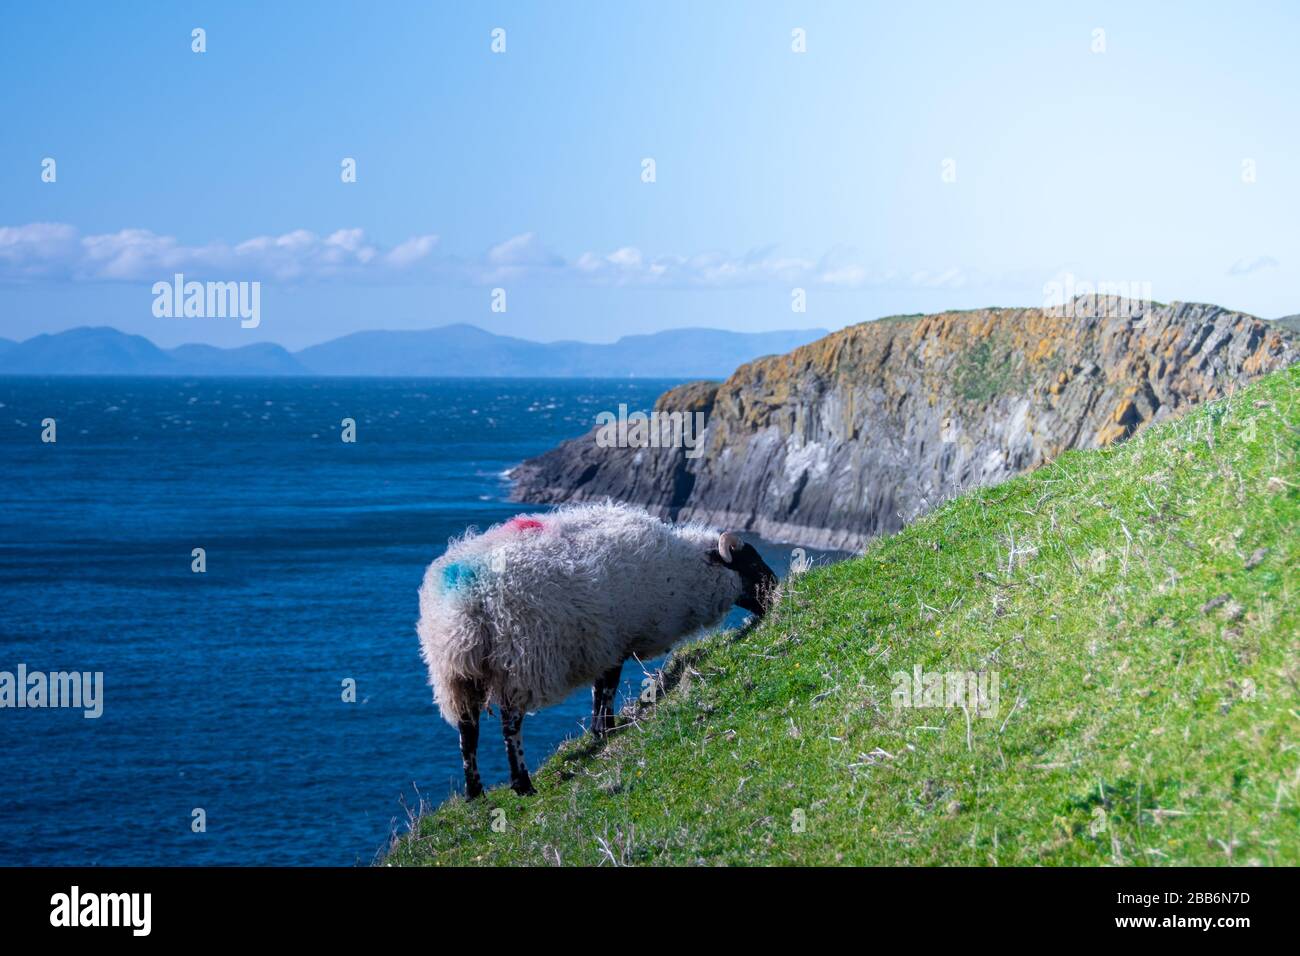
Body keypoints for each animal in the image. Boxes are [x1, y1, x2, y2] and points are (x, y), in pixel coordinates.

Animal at [421, 502, 774, 801]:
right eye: (752, 563)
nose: (776, 594)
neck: (681, 571)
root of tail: (465, 598)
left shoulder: (605, 644)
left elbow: (598, 689)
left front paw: (600, 730)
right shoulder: (616, 641)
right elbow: (607, 688)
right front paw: (607, 728)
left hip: (455, 675)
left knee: (467, 731)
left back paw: (474, 792)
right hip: (519, 661)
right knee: (510, 725)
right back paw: (523, 784)